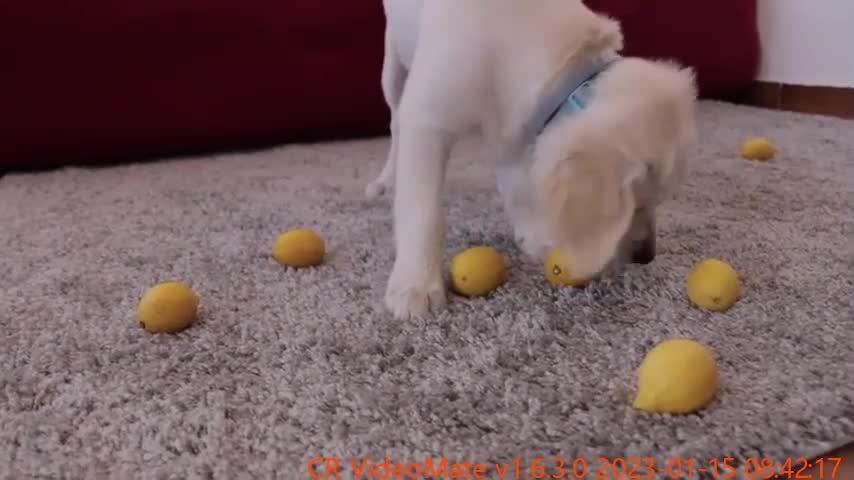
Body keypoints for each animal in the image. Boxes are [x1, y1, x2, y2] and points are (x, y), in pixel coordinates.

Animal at [372, 0, 700, 322]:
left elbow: (516, 178)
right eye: (636, 203)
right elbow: (423, 213)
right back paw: (385, 181)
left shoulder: (511, 123)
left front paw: (534, 236)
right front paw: (415, 285)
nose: (647, 257)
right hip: (393, 66)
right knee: (395, 121)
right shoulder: (427, 121)